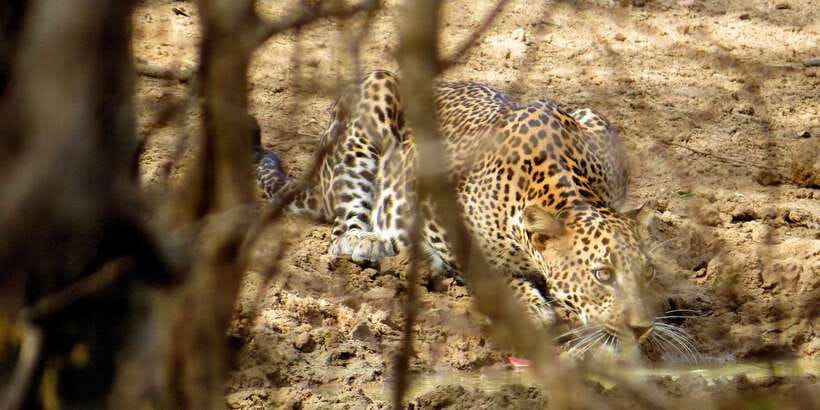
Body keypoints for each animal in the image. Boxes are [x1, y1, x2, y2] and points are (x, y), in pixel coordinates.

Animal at [254, 70, 681, 357]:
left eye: (647, 273)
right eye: (602, 275)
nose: (641, 329)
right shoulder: (435, 212)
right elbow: (487, 272)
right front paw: (531, 307)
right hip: (374, 93)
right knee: (341, 232)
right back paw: (367, 241)